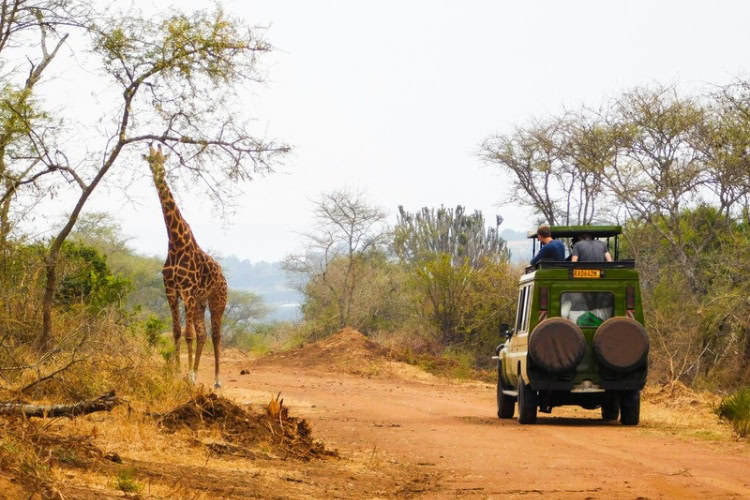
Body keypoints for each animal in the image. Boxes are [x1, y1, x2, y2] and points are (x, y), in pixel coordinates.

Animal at [144, 145, 228, 388]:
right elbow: (177, 332)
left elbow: (188, 334)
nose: (158, 173)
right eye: (150, 160)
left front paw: (187, 375)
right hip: (200, 303)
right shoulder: (171, 291)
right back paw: (197, 374)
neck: (175, 242)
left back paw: (217, 380)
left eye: (163, 160)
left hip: (217, 301)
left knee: (215, 335)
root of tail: (223, 276)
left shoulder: (187, 291)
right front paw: (176, 373)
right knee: (203, 334)